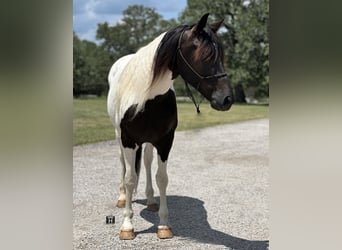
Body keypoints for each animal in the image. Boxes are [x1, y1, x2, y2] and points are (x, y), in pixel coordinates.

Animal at [108, 13, 234, 240]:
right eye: (206, 55)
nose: (227, 99)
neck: (146, 96)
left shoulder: (164, 141)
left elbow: (161, 178)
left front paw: (164, 225)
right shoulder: (128, 140)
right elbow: (130, 178)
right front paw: (127, 225)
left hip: (149, 142)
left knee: (147, 162)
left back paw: (150, 201)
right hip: (118, 136)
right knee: (123, 164)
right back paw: (122, 197)